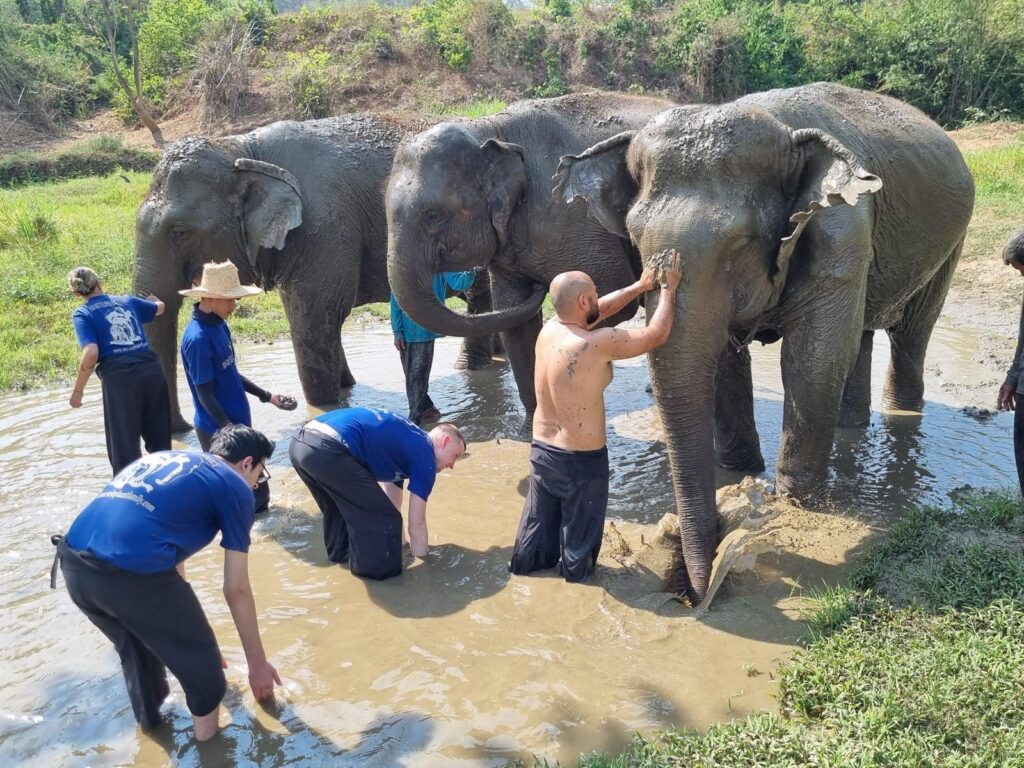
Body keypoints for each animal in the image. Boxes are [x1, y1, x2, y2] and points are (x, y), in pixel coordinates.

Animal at [133, 116, 498, 431]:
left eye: (179, 232)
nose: (181, 429)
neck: (244, 150)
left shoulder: (325, 231)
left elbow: (315, 318)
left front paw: (326, 408)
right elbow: (320, 321)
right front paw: (346, 387)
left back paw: (470, 369)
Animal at [385, 92, 673, 413]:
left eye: (432, 217)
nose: (539, 285)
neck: (489, 129)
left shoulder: (578, 222)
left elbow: (607, 305)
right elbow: (517, 322)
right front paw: (535, 420)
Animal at [554, 83, 975, 601]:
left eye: (740, 244)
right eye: (633, 236)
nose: (695, 594)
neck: (776, 126)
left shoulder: (844, 223)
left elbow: (811, 357)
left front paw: (798, 501)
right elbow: (722, 357)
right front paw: (739, 473)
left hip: (952, 240)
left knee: (912, 330)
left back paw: (901, 414)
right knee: (861, 330)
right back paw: (850, 426)